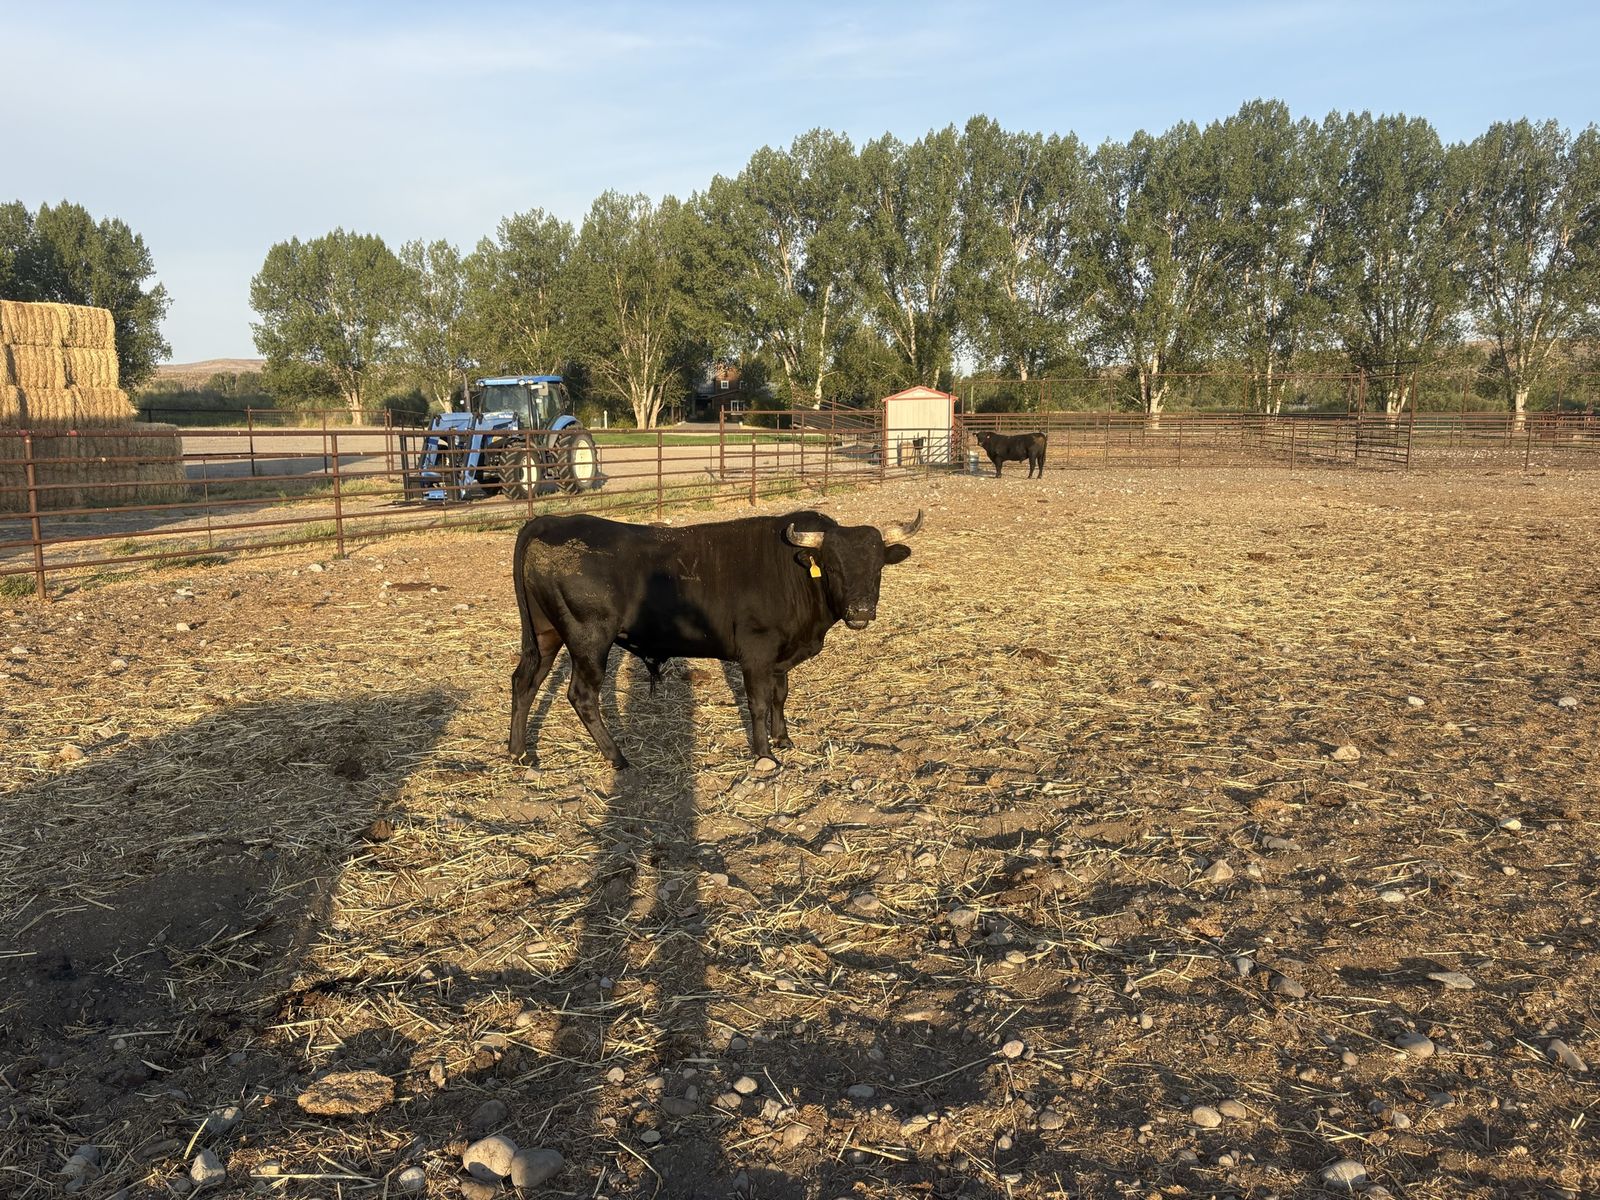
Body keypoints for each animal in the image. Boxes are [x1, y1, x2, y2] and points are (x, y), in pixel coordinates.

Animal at [508, 508, 923, 770]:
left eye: (877, 567)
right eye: (833, 566)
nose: (861, 611)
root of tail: (552, 521)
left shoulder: (780, 657)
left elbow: (780, 695)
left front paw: (784, 739)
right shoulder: (756, 652)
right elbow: (758, 702)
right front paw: (765, 755)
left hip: (546, 634)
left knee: (525, 682)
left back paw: (519, 753)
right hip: (589, 639)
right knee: (582, 695)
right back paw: (618, 757)